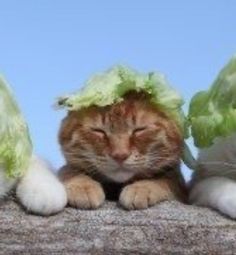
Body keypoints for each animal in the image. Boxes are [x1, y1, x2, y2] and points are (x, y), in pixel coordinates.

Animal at [58, 91, 186, 209]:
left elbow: (163, 180)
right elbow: (67, 171)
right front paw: (82, 186)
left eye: (139, 130)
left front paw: (142, 188)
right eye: (99, 131)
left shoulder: (175, 178)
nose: (120, 155)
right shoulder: (69, 166)